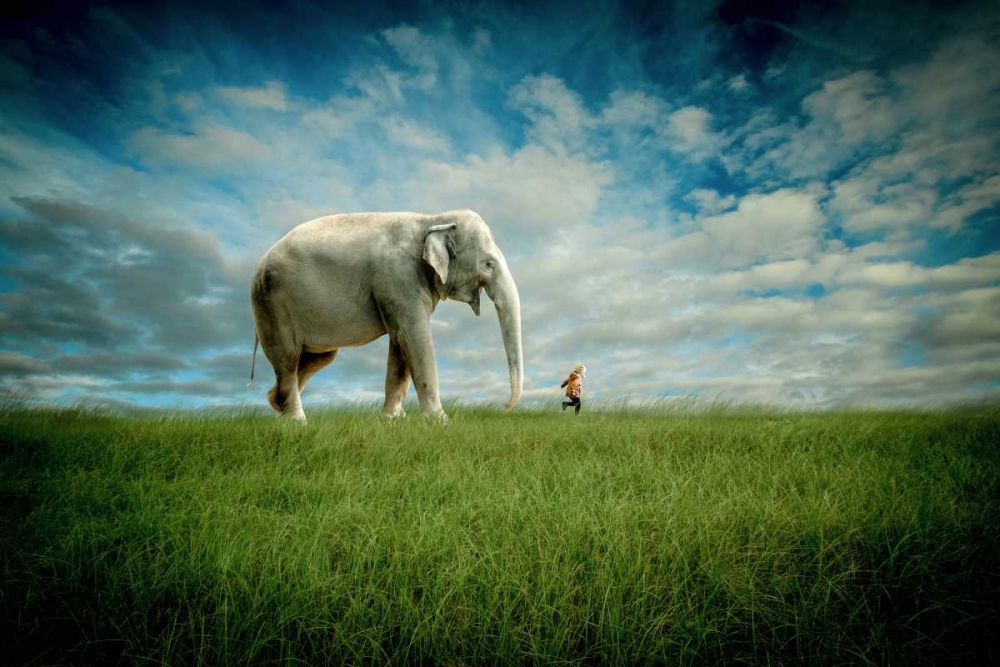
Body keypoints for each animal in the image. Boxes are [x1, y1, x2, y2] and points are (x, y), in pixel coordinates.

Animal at [248, 209, 523, 423]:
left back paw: (276, 405)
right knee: (287, 358)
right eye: (488, 264)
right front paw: (440, 421)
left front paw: (393, 419)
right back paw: (298, 422)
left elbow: (400, 343)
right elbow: (415, 338)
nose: (504, 407)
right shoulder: (398, 277)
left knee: (317, 358)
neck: (432, 219)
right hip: (273, 304)